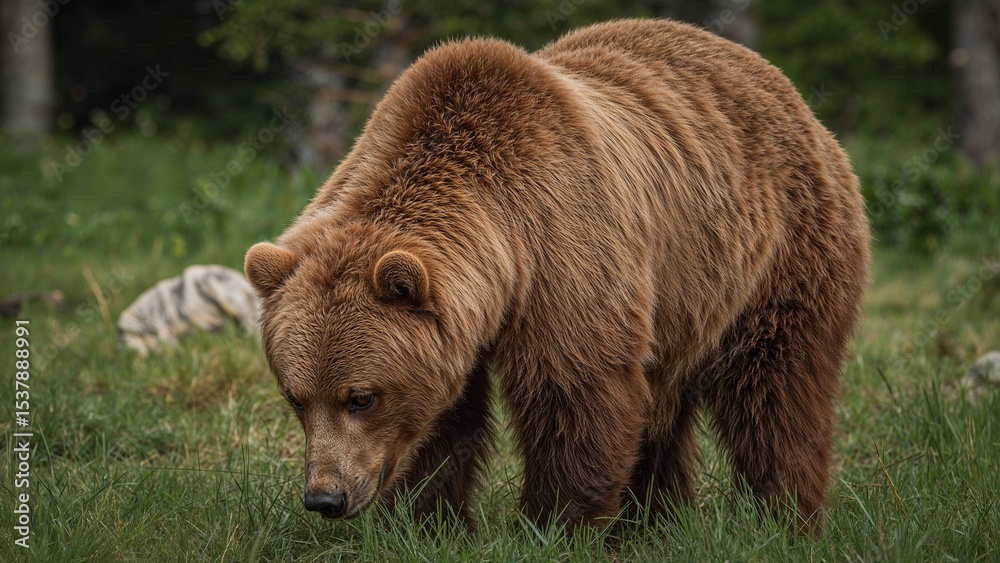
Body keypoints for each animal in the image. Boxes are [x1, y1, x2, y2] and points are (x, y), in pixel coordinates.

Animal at [244, 18, 870, 534]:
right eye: (296, 397)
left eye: (361, 397)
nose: (325, 498)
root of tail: (773, 77)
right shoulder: (456, 328)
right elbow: (444, 419)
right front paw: (423, 521)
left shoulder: (564, 249)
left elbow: (574, 391)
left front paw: (554, 525)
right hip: (684, 299)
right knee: (664, 406)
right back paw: (653, 524)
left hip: (783, 252)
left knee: (777, 389)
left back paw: (782, 517)